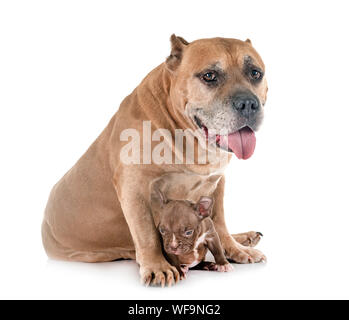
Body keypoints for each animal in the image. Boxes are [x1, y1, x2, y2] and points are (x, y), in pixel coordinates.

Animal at [42, 35, 266, 288]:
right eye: (209, 76)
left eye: (255, 73)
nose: (248, 104)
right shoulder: (134, 187)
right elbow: (146, 232)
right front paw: (158, 267)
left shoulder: (216, 183)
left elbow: (219, 222)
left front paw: (234, 249)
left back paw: (245, 238)